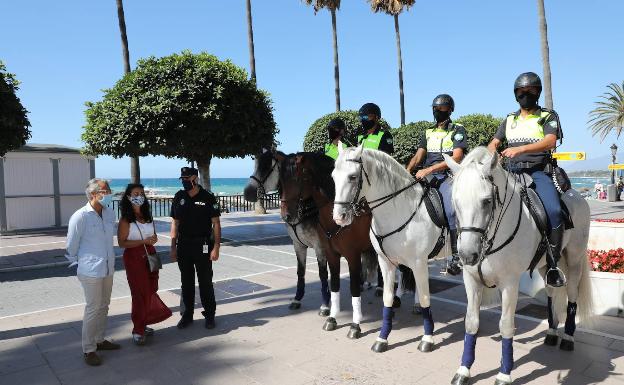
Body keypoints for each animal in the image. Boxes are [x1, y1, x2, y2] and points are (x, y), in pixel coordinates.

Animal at [280, 152, 378, 338]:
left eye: (300, 178)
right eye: (282, 180)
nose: (287, 215)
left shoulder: (351, 256)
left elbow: (350, 285)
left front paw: (354, 324)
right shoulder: (330, 254)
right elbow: (333, 283)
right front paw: (332, 318)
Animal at [334, 146, 446, 352]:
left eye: (353, 177)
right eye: (333, 176)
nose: (339, 217)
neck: (399, 209)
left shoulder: (418, 262)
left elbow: (426, 297)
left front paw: (427, 338)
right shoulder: (386, 262)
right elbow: (387, 298)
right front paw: (382, 338)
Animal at [444, 148, 588, 384]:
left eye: (486, 201)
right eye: (455, 202)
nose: (467, 255)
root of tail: (576, 195)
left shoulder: (509, 284)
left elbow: (506, 326)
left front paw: (504, 373)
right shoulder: (471, 281)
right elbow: (471, 322)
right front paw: (464, 370)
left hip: (575, 258)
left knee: (572, 294)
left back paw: (567, 337)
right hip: (546, 265)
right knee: (551, 292)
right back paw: (551, 333)